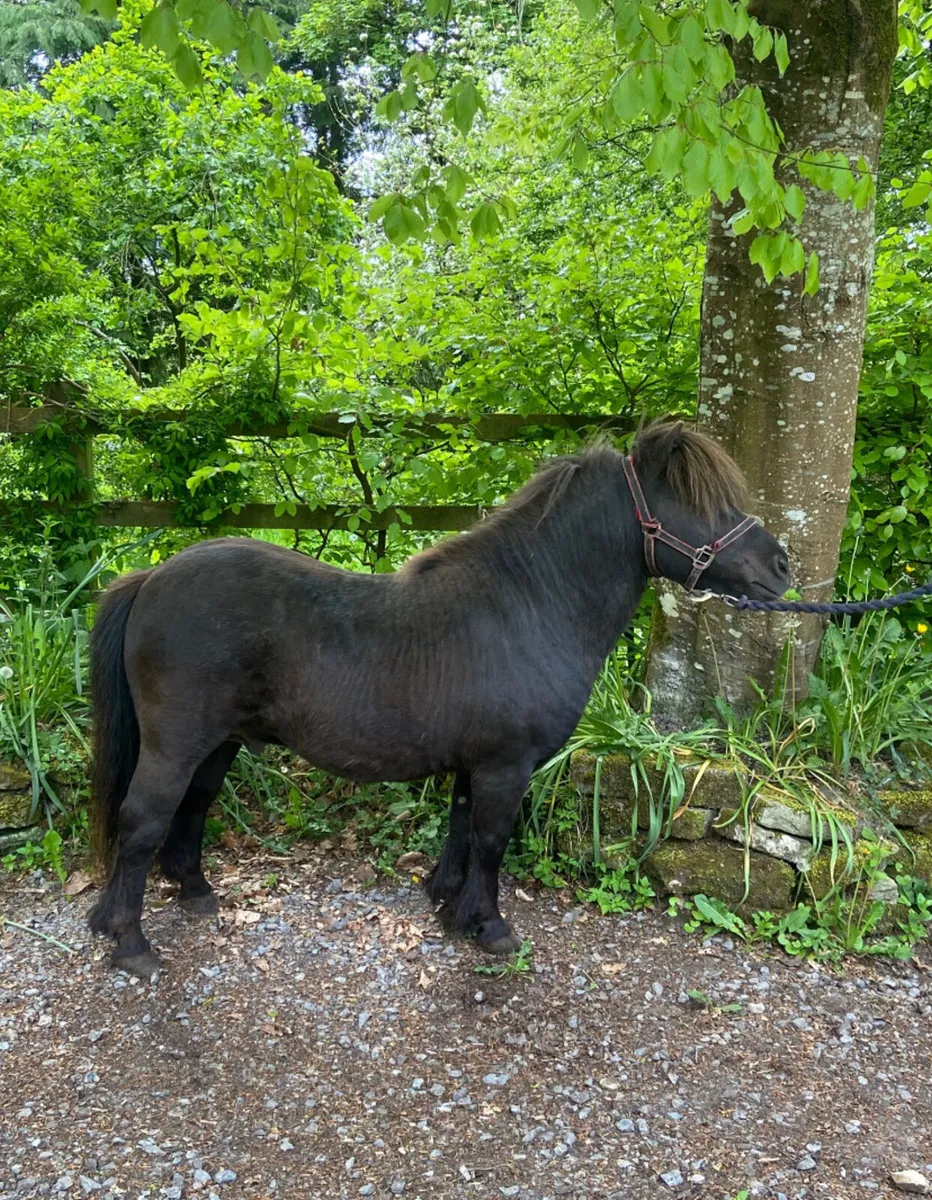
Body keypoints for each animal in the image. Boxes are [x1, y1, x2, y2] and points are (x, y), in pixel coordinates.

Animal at [87, 420, 789, 973]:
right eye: (704, 503)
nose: (780, 567)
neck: (529, 604)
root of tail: (152, 577)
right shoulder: (506, 766)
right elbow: (492, 839)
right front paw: (491, 927)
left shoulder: (475, 764)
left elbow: (460, 828)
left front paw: (449, 905)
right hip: (176, 745)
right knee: (142, 820)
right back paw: (130, 943)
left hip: (217, 744)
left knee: (191, 809)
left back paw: (194, 893)